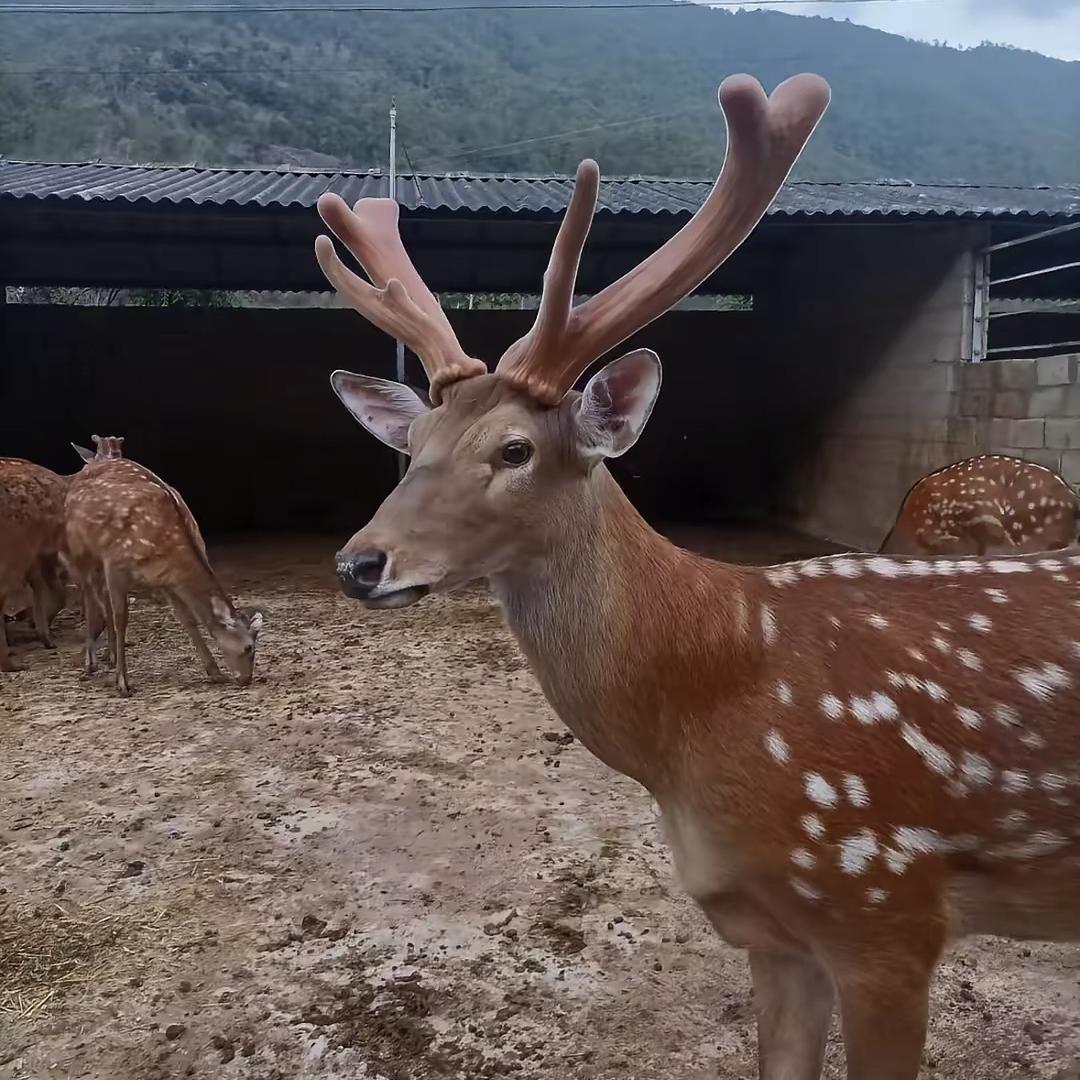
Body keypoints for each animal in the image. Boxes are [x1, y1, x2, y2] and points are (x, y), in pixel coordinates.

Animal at [65, 455, 263, 696]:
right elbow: (122, 619)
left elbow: (187, 619)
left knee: (101, 598)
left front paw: (215, 673)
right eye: (248, 647)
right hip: (79, 549)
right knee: (87, 593)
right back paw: (91, 662)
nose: (246, 679)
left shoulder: (167, 579)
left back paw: (109, 656)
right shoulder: (115, 562)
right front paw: (123, 683)